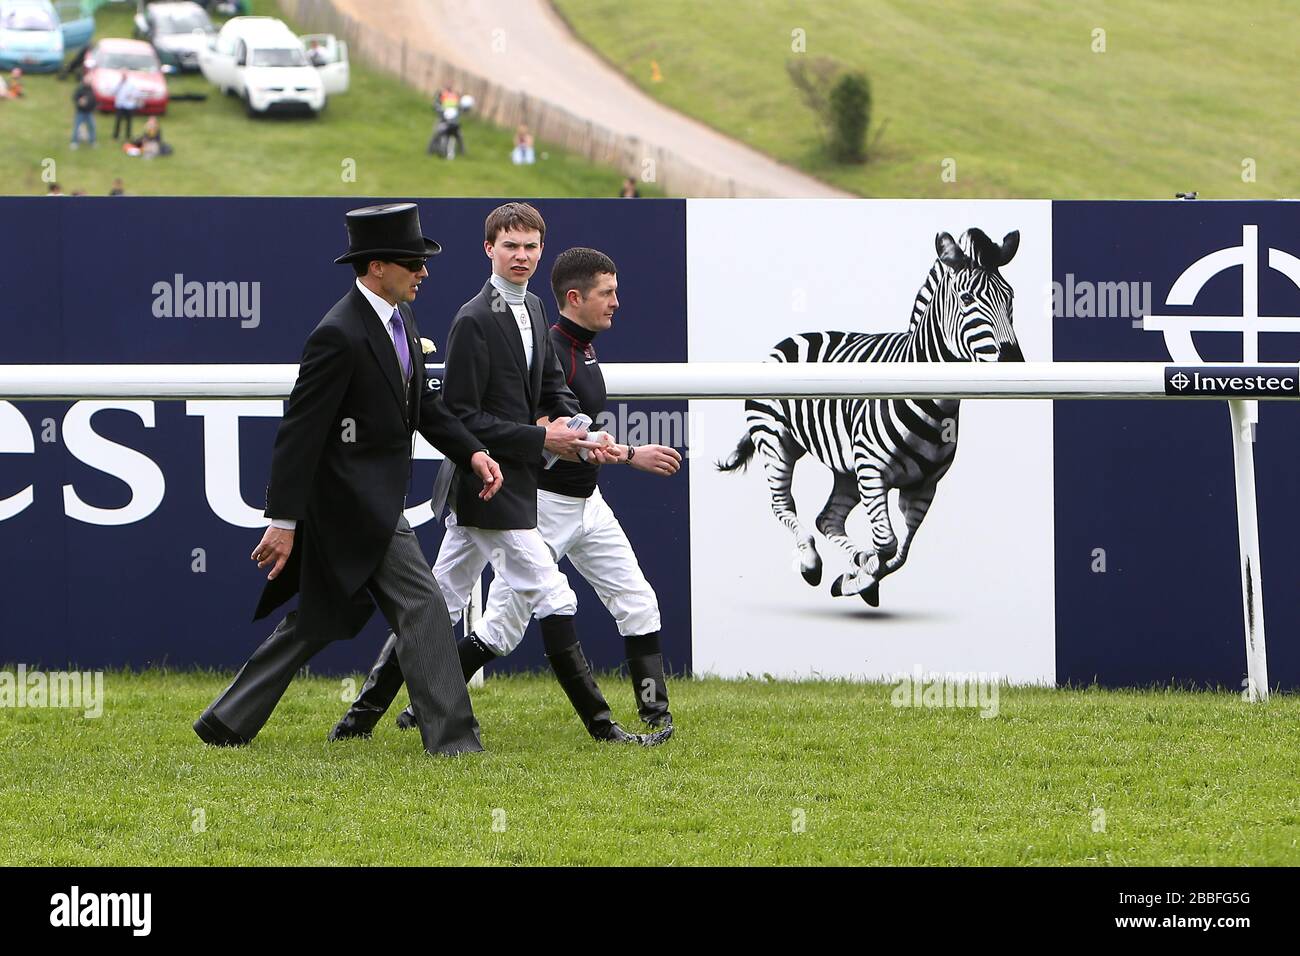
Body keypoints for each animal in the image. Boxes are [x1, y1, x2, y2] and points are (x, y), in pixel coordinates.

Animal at [717, 227, 1019, 606]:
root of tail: (788, 339)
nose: (1016, 363)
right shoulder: (873, 473)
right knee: (782, 504)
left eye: (1011, 299)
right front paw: (860, 576)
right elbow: (887, 544)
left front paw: (856, 579)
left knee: (828, 519)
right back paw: (811, 561)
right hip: (777, 443)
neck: (937, 408)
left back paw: (854, 561)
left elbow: (900, 553)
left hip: (846, 467)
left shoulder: (923, 487)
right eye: (966, 299)